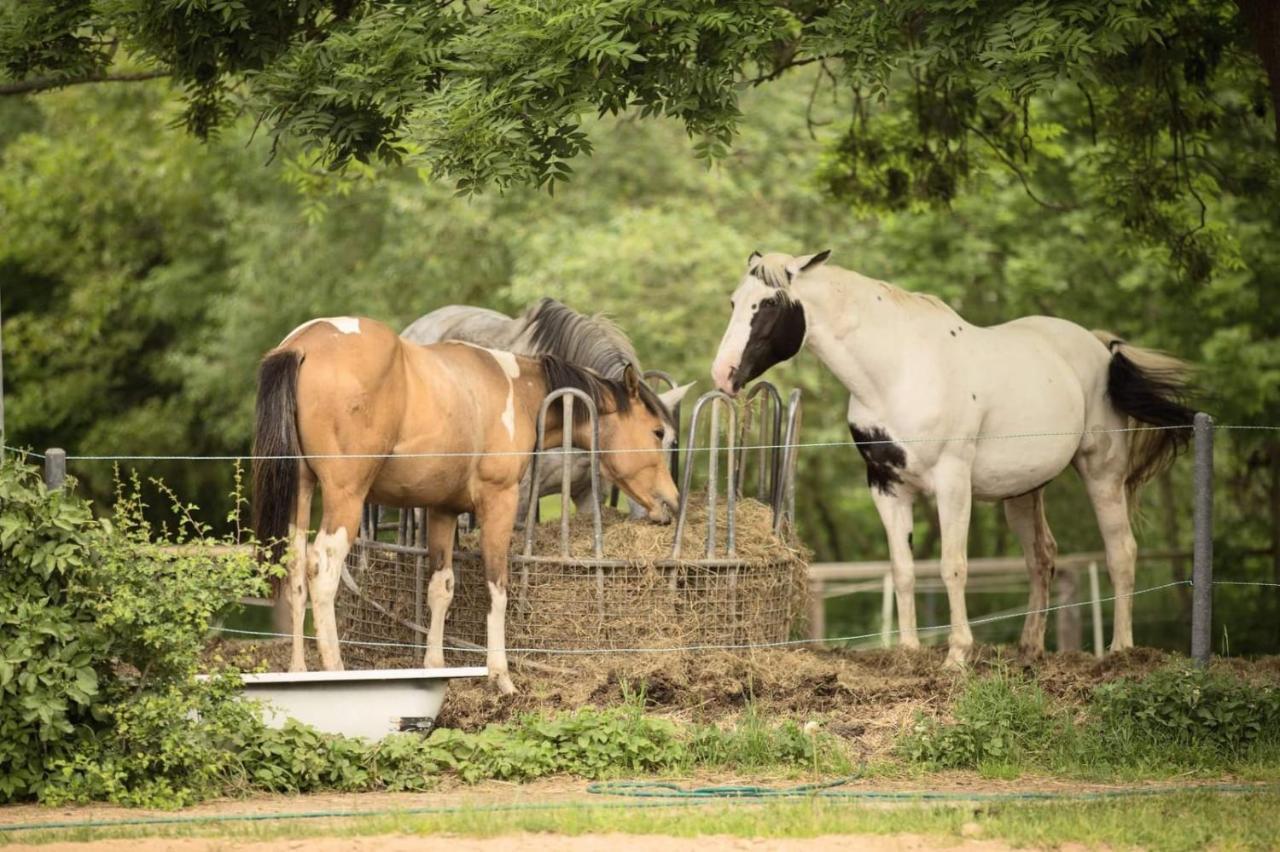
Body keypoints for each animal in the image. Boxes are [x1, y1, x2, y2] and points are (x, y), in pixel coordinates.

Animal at [243, 312, 675, 690]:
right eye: (658, 432)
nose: (670, 503)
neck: (517, 392)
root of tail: (302, 345)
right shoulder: (500, 502)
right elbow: (497, 587)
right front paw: (501, 677)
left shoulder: (443, 510)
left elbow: (441, 588)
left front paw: (435, 665)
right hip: (345, 497)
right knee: (322, 569)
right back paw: (335, 670)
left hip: (301, 491)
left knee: (296, 570)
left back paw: (299, 670)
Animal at [706, 249, 1192, 665]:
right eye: (733, 301)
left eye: (769, 304)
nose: (723, 374)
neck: (898, 371)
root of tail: (1099, 347)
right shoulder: (886, 485)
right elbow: (902, 569)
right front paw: (908, 652)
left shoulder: (952, 483)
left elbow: (952, 566)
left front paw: (957, 655)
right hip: (1023, 491)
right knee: (1042, 558)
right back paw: (1030, 649)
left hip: (1101, 473)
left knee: (1121, 553)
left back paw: (1119, 651)